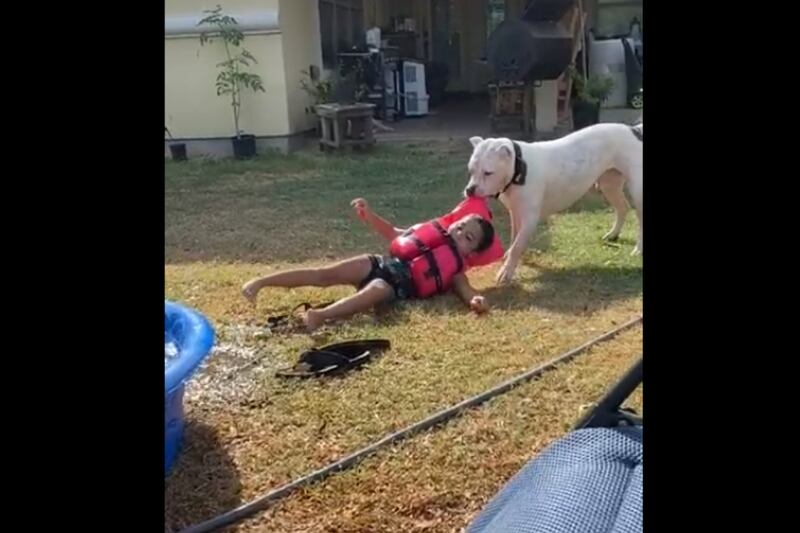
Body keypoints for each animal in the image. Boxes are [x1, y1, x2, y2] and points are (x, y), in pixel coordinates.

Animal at [464, 122, 643, 285]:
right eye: (471, 170)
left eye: (488, 173)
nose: (470, 190)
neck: (519, 167)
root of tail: (633, 130)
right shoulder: (515, 212)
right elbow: (514, 238)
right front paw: (508, 257)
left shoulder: (530, 218)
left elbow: (517, 245)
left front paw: (506, 272)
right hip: (609, 185)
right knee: (622, 208)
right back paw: (613, 234)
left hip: (637, 190)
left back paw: (638, 248)